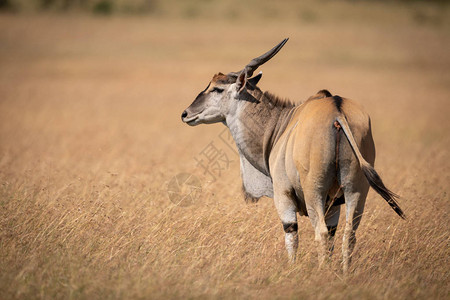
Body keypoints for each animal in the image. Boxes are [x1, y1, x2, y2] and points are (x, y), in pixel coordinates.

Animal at [181, 38, 406, 274]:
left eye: (217, 88)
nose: (186, 114)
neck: (279, 125)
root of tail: (337, 113)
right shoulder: (335, 204)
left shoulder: (283, 195)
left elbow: (292, 235)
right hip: (356, 191)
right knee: (348, 235)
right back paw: (345, 274)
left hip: (314, 191)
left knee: (321, 233)